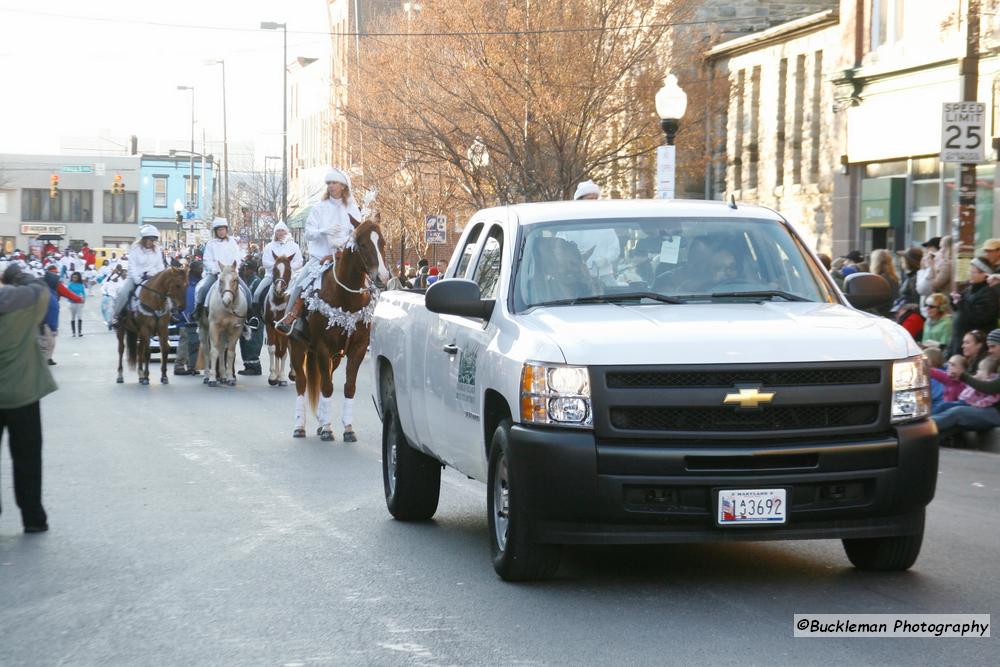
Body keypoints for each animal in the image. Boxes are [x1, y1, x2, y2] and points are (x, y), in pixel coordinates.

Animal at [290, 217, 390, 440]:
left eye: (383, 242)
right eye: (362, 244)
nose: (382, 277)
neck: (346, 299)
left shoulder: (357, 348)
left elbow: (348, 387)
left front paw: (347, 428)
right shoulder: (322, 347)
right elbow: (327, 387)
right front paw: (328, 429)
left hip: (334, 356)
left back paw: (320, 421)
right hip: (298, 347)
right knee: (301, 382)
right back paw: (300, 425)